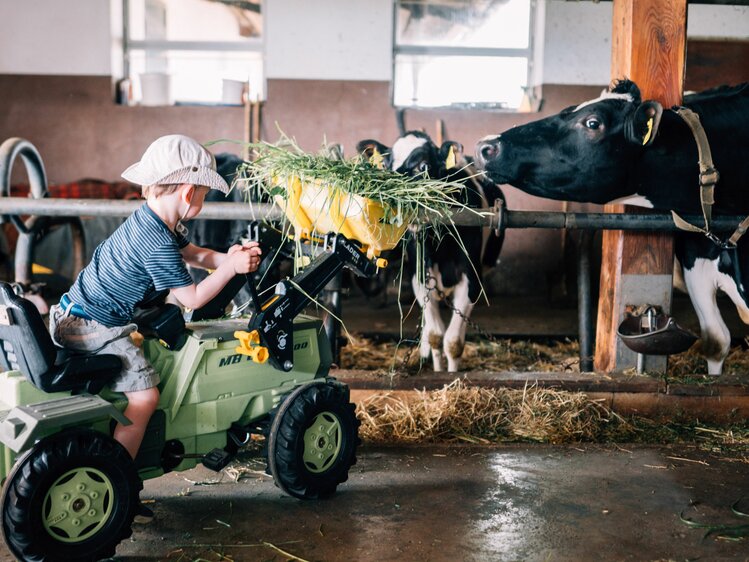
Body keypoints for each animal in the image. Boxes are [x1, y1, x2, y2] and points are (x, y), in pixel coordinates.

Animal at [360, 129, 506, 370]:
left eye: (423, 166)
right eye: (387, 164)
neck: (440, 246)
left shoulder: (472, 281)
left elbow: (453, 342)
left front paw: (451, 373)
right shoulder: (420, 278)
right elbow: (436, 336)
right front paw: (437, 368)